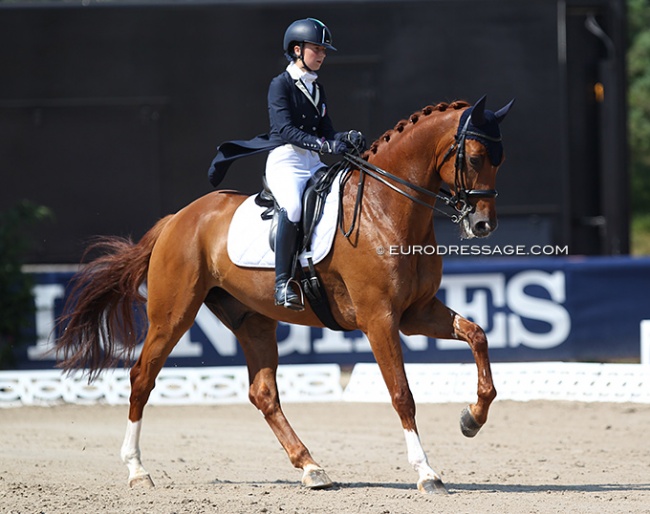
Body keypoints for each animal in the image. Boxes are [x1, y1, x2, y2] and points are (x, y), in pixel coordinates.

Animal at [54, 95, 512, 492]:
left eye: (499, 160)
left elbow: (477, 335)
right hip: (173, 316)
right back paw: (137, 471)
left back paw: (311, 467)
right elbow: (402, 395)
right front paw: (427, 473)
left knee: (263, 394)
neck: (384, 208)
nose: (483, 225)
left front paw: (471, 419)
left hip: (252, 320)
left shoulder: (416, 313)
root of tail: (178, 217)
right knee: (141, 377)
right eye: (475, 158)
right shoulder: (379, 318)